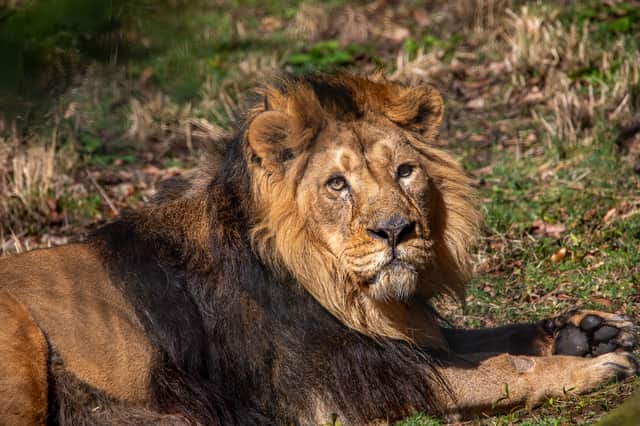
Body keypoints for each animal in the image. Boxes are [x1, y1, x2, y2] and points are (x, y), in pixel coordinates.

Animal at [0, 74, 637, 425]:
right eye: (337, 184)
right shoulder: (339, 387)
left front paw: (589, 330)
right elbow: (501, 368)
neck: (341, 289)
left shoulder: (403, 343)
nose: (396, 231)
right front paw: (592, 365)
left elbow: (487, 338)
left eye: (405, 171)